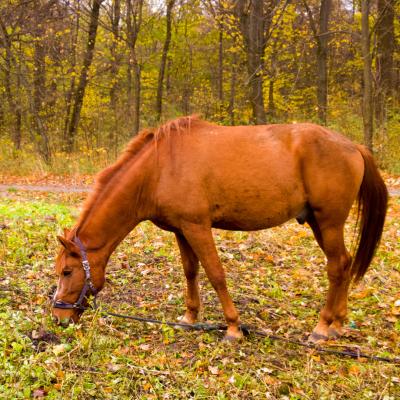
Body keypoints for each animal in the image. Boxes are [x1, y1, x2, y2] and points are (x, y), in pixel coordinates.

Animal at [52, 115, 388, 340]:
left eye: (67, 272)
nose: (58, 316)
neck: (158, 169)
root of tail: (353, 146)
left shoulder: (198, 227)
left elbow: (216, 274)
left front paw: (233, 327)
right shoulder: (181, 230)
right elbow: (191, 272)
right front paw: (190, 317)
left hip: (329, 222)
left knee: (336, 266)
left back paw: (322, 327)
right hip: (318, 223)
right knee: (344, 264)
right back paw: (339, 323)